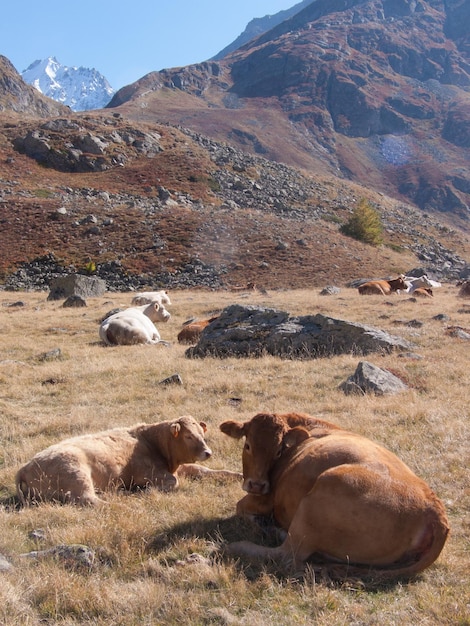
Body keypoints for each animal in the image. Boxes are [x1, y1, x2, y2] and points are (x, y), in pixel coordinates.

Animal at [16, 412, 241, 504]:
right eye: (188, 436)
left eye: (201, 434)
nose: (208, 452)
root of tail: (25, 467)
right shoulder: (149, 473)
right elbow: (172, 482)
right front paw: (144, 490)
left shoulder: (179, 467)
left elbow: (207, 471)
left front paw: (237, 475)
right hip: (76, 474)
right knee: (87, 499)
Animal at [220, 412, 448, 576]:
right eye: (247, 445)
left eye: (277, 451)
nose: (257, 485)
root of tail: (434, 510)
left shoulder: (267, 499)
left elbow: (240, 506)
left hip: (317, 499)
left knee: (288, 554)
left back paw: (244, 543)